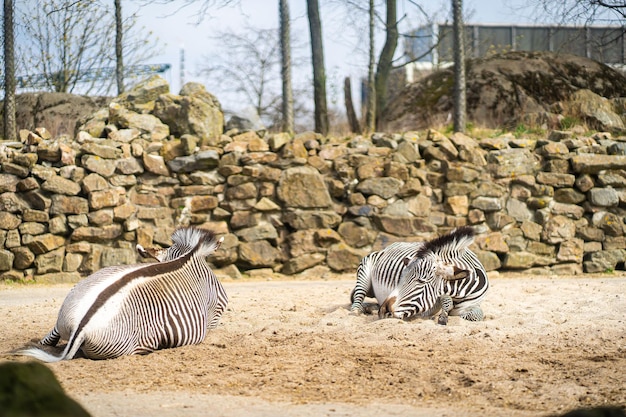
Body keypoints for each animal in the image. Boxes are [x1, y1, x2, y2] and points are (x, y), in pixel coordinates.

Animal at [17, 228, 229, 360]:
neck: (188, 256)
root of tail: (81, 327)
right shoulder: (215, 313)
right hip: (141, 343)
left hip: (68, 306)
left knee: (48, 338)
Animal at [348, 226, 486, 324]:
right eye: (400, 279)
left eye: (421, 281)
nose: (383, 311)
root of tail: (387, 247)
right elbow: (445, 300)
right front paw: (441, 315)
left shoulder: (472, 305)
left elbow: (476, 315)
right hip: (364, 272)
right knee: (357, 300)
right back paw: (358, 310)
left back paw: (370, 308)